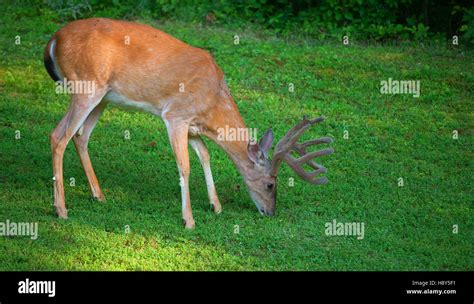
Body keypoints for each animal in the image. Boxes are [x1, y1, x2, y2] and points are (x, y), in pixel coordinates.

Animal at [44, 17, 334, 228]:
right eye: (270, 184)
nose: (270, 212)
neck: (213, 102)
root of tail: (54, 39)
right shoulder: (176, 115)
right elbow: (184, 166)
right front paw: (189, 219)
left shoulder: (193, 125)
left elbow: (205, 155)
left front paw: (216, 206)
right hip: (86, 86)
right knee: (58, 135)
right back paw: (61, 210)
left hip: (103, 97)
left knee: (80, 136)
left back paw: (99, 195)